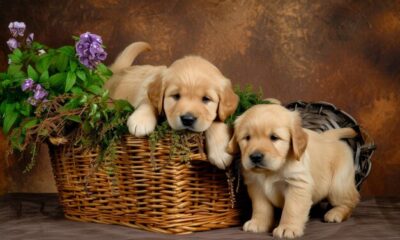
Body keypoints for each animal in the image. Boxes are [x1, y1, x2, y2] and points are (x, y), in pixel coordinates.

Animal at [104, 41, 239, 169]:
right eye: (176, 96)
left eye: (206, 99)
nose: (188, 119)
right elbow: (147, 101)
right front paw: (141, 120)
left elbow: (216, 120)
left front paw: (220, 152)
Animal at [227, 104, 360, 238]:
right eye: (247, 138)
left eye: (274, 137)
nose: (255, 157)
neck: (271, 171)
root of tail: (327, 137)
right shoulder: (256, 186)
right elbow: (260, 207)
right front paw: (258, 222)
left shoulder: (297, 184)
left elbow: (292, 208)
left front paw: (287, 228)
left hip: (338, 185)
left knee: (352, 200)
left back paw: (336, 213)